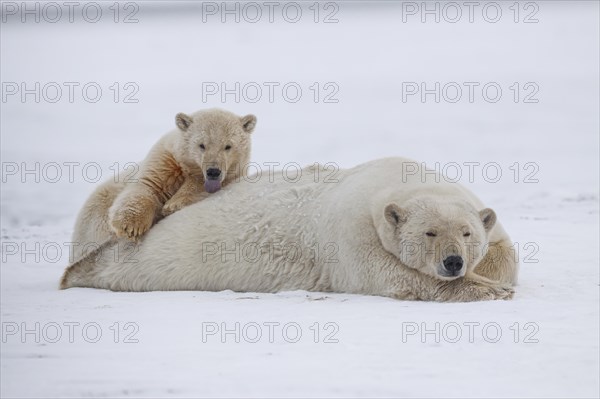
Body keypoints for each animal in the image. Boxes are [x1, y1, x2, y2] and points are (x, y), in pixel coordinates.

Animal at [62, 158, 520, 302]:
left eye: (466, 233)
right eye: (429, 233)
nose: (453, 262)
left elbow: (507, 254)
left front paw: (491, 279)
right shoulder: (351, 232)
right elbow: (388, 274)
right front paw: (487, 290)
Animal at [69, 108, 255, 260]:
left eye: (228, 146)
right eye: (201, 145)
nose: (213, 171)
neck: (186, 168)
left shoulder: (231, 175)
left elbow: (199, 188)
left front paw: (173, 205)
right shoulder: (165, 160)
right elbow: (147, 187)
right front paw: (131, 227)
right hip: (95, 218)